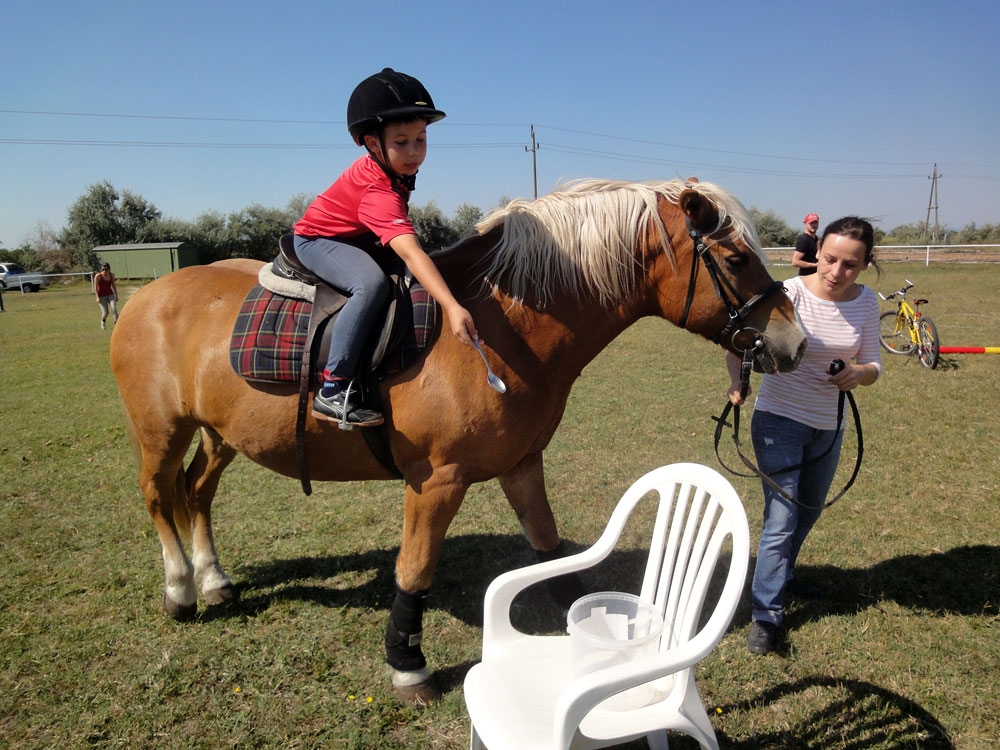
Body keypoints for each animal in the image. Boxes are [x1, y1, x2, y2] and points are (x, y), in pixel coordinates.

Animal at [113, 178, 808, 704]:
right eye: (737, 260)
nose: (795, 344)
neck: (504, 325)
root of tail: (145, 296)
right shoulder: (436, 481)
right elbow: (414, 571)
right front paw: (408, 666)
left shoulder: (523, 465)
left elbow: (551, 550)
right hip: (161, 433)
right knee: (157, 495)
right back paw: (181, 589)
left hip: (219, 435)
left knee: (197, 493)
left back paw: (214, 579)